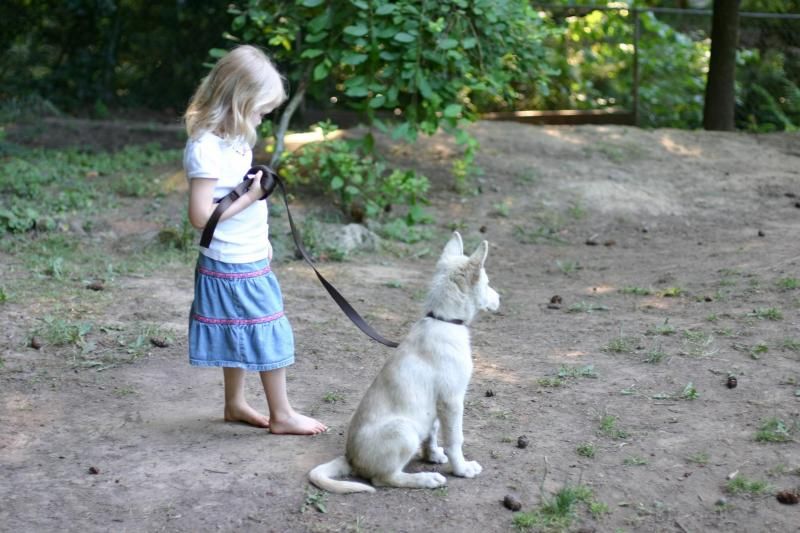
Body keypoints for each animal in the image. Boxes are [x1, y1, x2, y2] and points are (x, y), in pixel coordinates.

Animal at [310, 231, 496, 492]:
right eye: (487, 284)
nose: (499, 298)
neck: (443, 320)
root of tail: (349, 459)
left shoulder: (436, 403)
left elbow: (433, 432)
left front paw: (432, 455)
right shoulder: (451, 399)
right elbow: (455, 439)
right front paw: (462, 468)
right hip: (404, 430)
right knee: (383, 479)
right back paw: (426, 479)